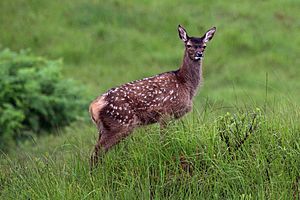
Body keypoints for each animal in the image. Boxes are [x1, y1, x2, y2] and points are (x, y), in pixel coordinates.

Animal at [89, 25, 216, 169]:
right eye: (188, 45)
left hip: (104, 128)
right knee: (97, 152)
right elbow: (164, 140)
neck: (185, 84)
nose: (199, 54)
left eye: (204, 46)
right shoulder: (166, 113)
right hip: (120, 123)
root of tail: (94, 106)